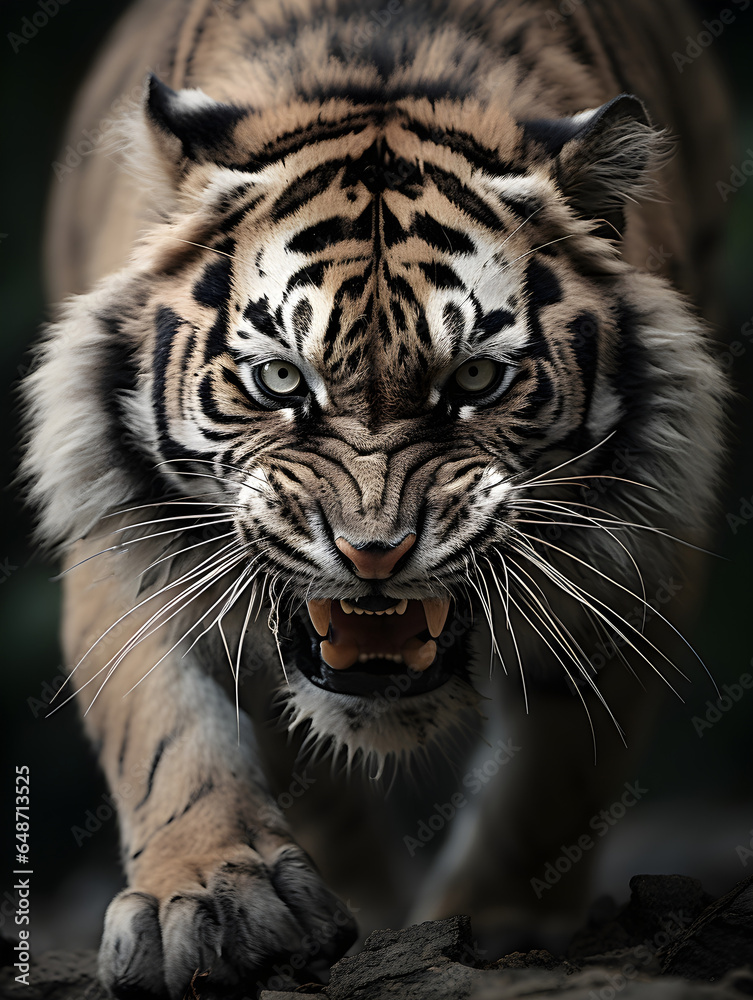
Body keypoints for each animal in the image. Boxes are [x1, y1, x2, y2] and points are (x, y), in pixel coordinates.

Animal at [23, 0, 731, 996]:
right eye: (281, 378)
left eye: (474, 378)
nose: (373, 554)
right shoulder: (119, 519)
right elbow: (165, 728)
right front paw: (205, 898)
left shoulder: (641, 548)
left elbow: (559, 771)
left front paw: (498, 922)